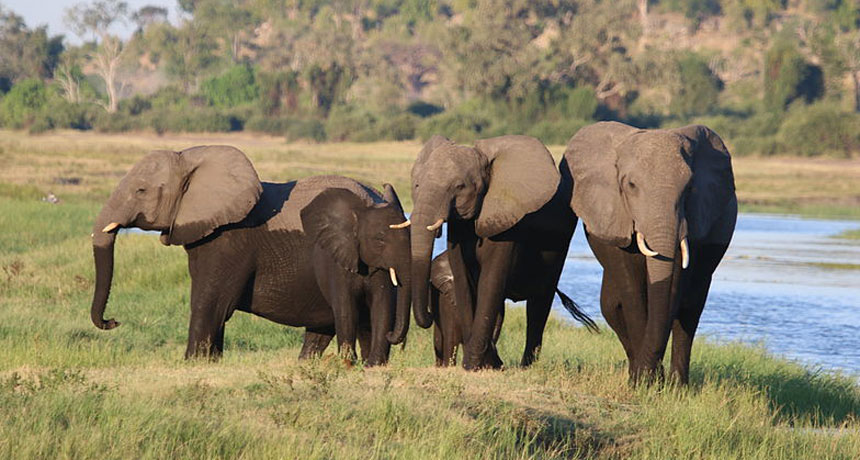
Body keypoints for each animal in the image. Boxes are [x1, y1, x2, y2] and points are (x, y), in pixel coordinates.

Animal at [90, 145, 412, 363]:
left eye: (141, 191)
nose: (113, 321)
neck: (191, 157)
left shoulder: (230, 239)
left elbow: (209, 301)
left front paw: (194, 362)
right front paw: (211, 362)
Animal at [563, 122, 737, 384]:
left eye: (689, 188)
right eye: (631, 185)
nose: (652, 375)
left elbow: (674, 290)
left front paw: (651, 381)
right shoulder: (614, 213)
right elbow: (632, 291)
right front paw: (642, 382)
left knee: (691, 308)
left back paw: (678, 386)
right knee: (611, 306)